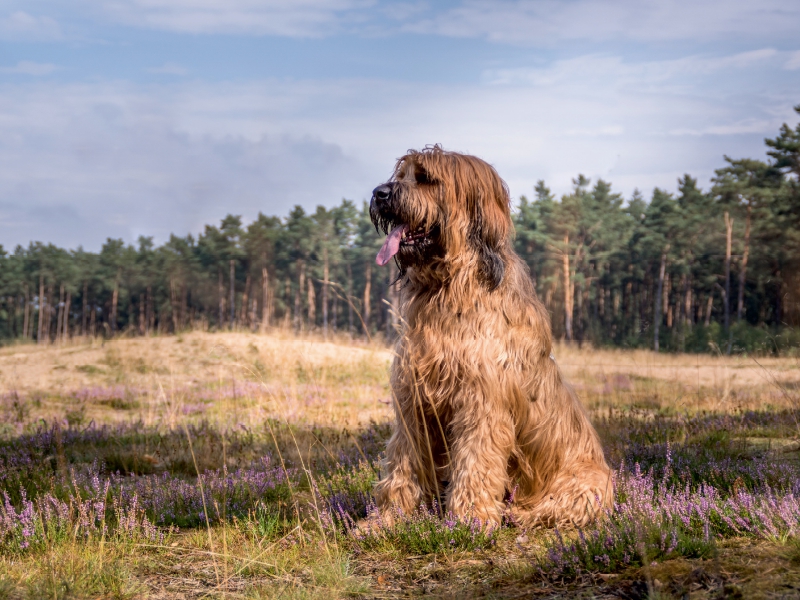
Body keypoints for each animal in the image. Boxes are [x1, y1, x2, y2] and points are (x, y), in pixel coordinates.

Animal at [368, 148, 612, 528]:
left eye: (426, 178)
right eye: (401, 174)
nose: (378, 193)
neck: (450, 288)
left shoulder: (481, 400)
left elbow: (475, 463)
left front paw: (469, 521)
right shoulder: (413, 400)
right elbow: (403, 461)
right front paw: (387, 518)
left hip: (587, 486)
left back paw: (518, 512)